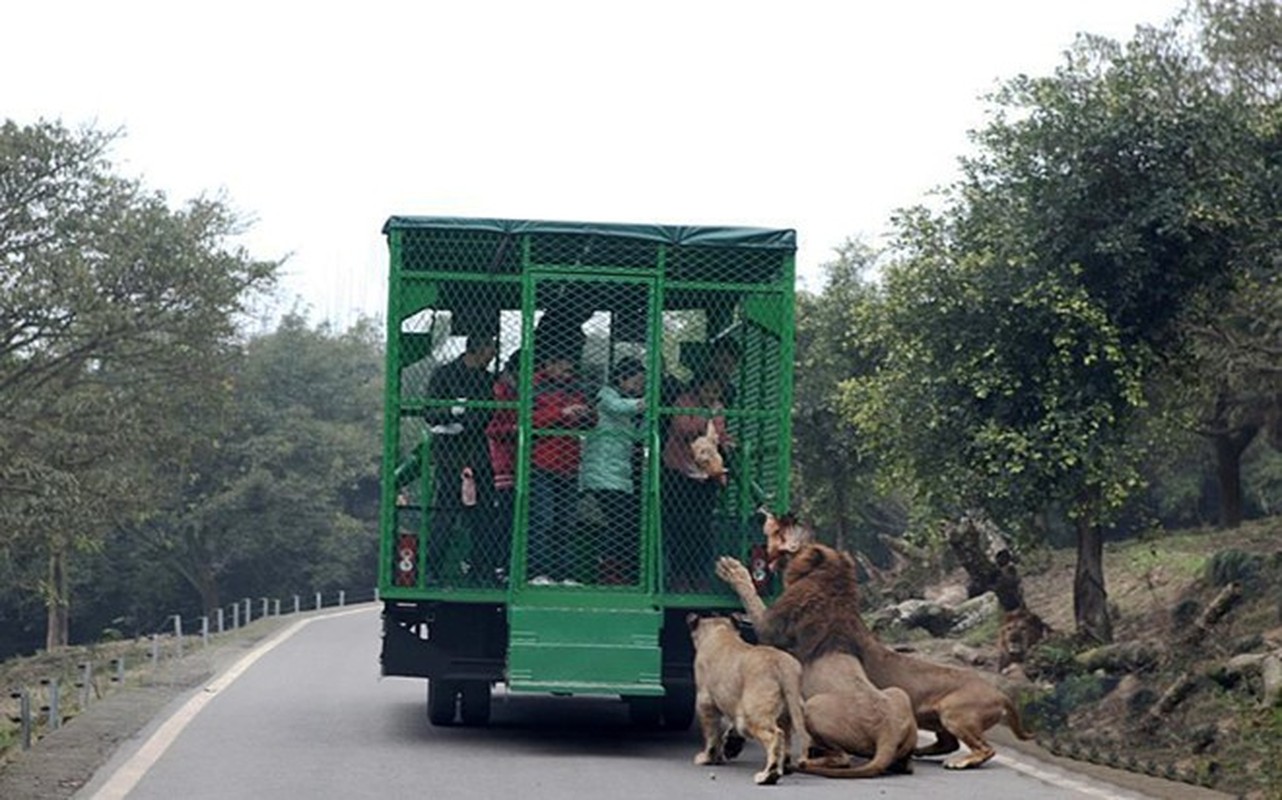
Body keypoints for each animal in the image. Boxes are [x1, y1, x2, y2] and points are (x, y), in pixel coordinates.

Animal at [687, 615, 805, 784]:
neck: (720, 630)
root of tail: (782, 665)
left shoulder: (705, 701)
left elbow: (711, 734)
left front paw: (707, 758)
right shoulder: (736, 706)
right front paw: (728, 748)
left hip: (753, 715)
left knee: (776, 736)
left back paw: (768, 775)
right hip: (786, 712)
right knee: (786, 737)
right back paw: (785, 767)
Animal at [717, 512, 1035, 769]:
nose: (799, 523)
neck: (834, 593)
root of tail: (1002, 694)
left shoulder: (769, 628)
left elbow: (752, 599)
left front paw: (733, 569)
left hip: (955, 714)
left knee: (985, 749)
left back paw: (960, 762)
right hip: (938, 718)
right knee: (948, 743)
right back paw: (920, 751)